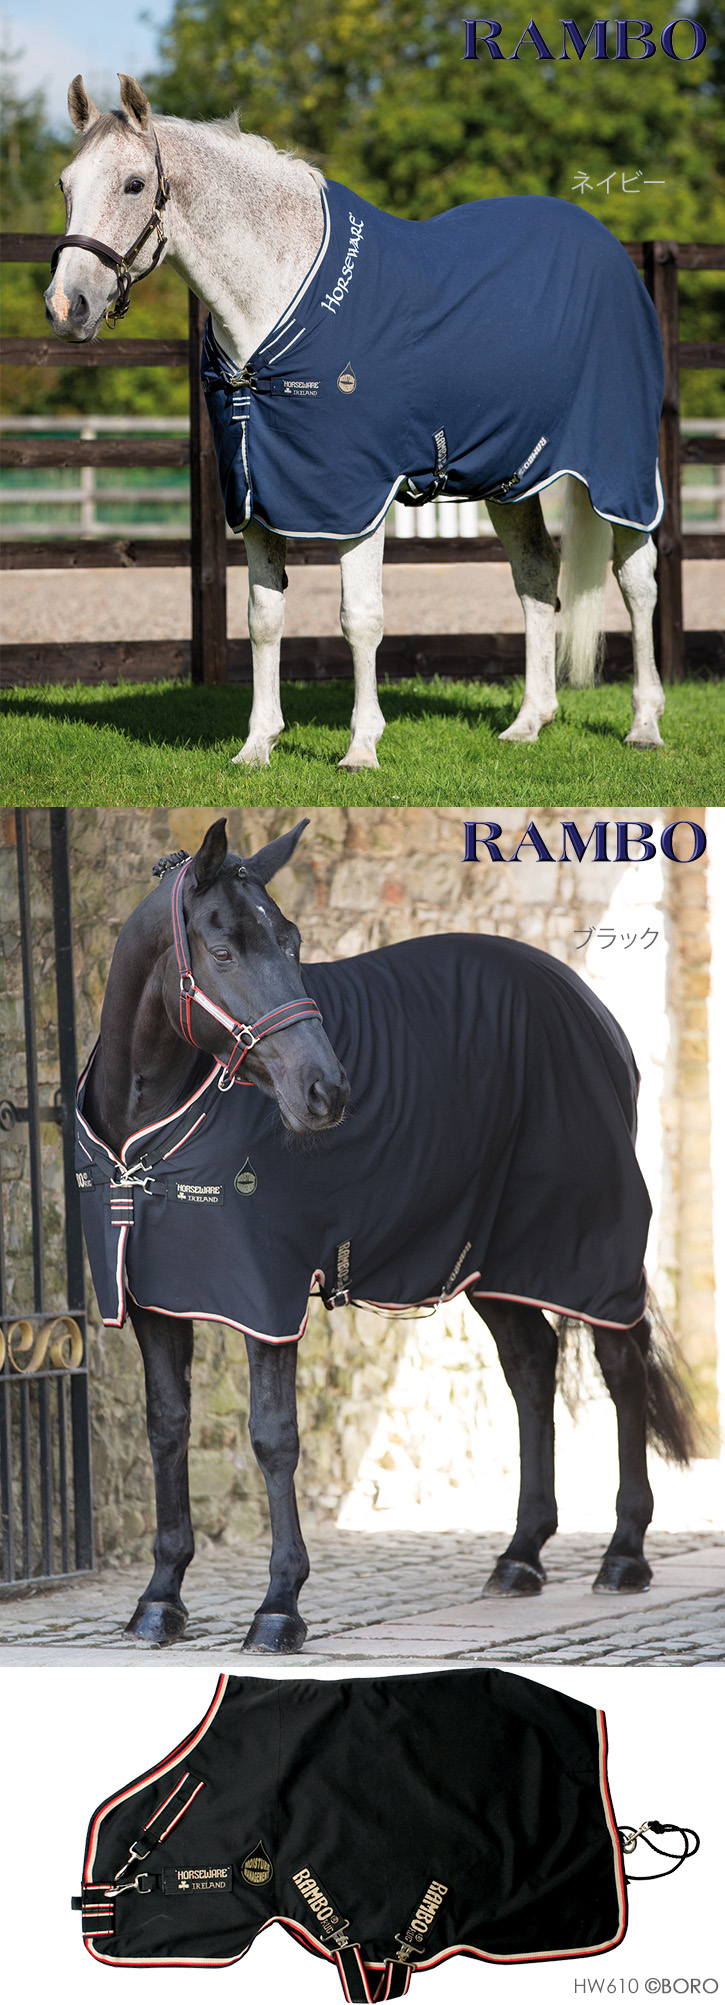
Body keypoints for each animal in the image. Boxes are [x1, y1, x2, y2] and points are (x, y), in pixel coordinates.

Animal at [44, 73, 667, 770]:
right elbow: (263, 618)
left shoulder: (357, 497)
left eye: (133, 184)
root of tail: (610, 249)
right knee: (537, 575)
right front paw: (257, 745)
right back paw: (530, 721)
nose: (67, 307)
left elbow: (360, 617)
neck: (273, 309)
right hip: (511, 477)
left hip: (621, 468)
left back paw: (645, 724)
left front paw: (361, 747)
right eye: (65, 184)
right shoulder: (255, 498)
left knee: (638, 582)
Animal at [74, 818, 694, 1652]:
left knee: (620, 1367)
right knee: (531, 1368)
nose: (326, 1091)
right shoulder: (153, 1298)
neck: (145, 1136)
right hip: (491, 1258)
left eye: (294, 941)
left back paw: (624, 1553)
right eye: (223, 949)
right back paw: (520, 1554)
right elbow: (166, 1427)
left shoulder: (265, 1297)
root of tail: (590, 1009)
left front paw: (279, 1605)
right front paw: (159, 1598)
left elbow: (273, 1436)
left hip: (588, 1247)